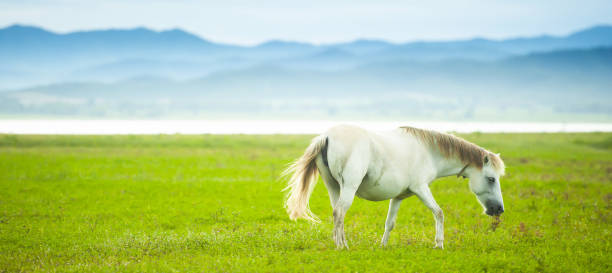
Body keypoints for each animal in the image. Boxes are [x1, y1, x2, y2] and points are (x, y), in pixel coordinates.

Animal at [284, 124, 504, 248]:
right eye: (491, 179)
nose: (499, 209)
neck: (429, 151)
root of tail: (327, 136)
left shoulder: (398, 197)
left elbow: (389, 223)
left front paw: (383, 246)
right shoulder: (421, 188)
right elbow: (439, 213)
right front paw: (439, 244)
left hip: (334, 187)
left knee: (337, 213)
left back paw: (339, 242)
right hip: (348, 187)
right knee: (339, 212)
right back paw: (342, 246)